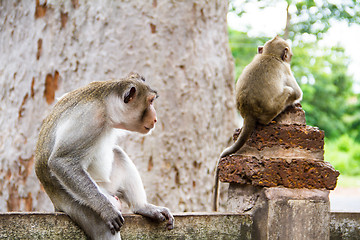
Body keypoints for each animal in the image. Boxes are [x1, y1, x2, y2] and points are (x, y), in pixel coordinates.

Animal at [34, 73, 174, 240]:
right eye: (151, 101)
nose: (155, 118)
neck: (106, 106)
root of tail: (56, 204)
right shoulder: (90, 117)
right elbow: (61, 161)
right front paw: (105, 208)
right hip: (77, 204)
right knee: (104, 227)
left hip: (109, 186)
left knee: (118, 154)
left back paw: (142, 207)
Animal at [214, 36, 304, 211]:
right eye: (288, 52)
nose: (290, 55)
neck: (270, 55)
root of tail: (248, 113)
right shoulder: (286, 69)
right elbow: (297, 92)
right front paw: (297, 101)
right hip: (273, 109)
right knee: (289, 91)